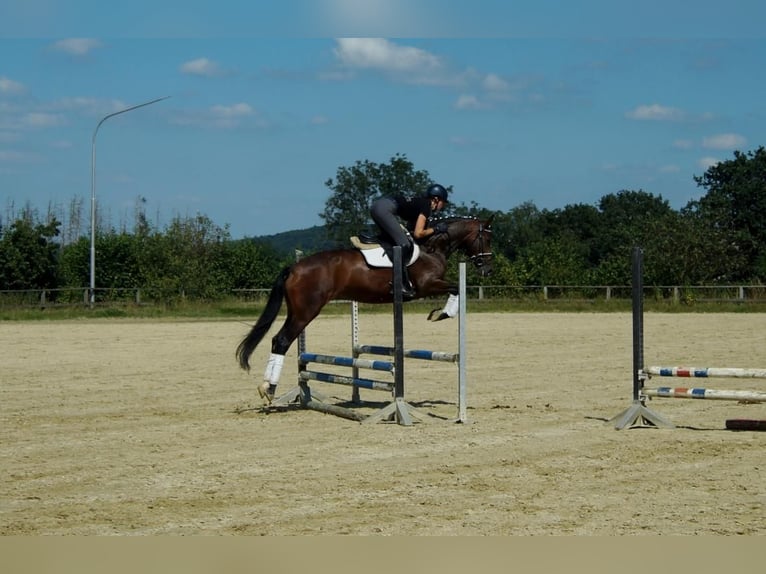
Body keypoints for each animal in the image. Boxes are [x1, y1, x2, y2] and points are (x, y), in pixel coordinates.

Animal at [237, 216, 496, 404]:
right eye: (486, 238)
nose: (487, 270)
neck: (431, 248)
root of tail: (294, 267)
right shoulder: (427, 285)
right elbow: (457, 288)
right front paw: (442, 314)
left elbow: (456, 289)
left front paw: (440, 313)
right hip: (306, 313)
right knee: (282, 340)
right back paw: (269, 389)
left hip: (296, 311)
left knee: (278, 340)